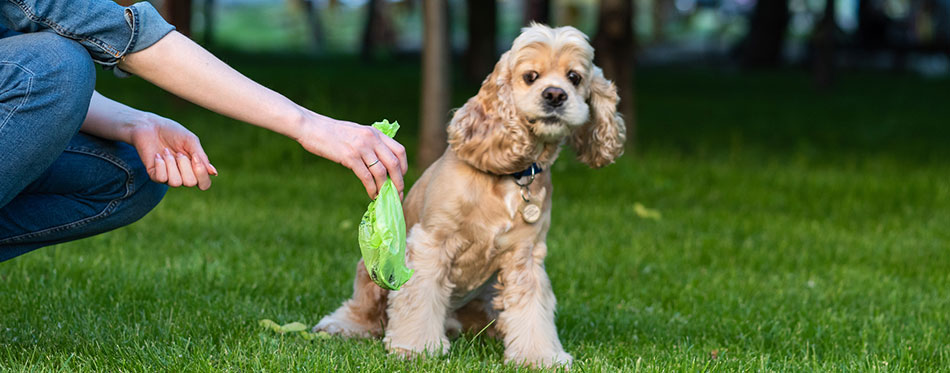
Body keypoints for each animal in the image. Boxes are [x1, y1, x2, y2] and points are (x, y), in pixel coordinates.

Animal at [314, 23, 624, 366]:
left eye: (575, 77)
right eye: (530, 76)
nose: (555, 95)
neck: (512, 176)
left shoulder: (525, 256)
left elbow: (533, 310)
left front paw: (540, 357)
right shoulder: (431, 243)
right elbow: (419, 299)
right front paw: (416, 348)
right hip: (373, 274)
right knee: (364, 309)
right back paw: (341, 326)